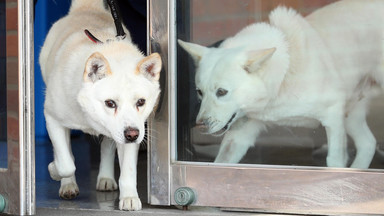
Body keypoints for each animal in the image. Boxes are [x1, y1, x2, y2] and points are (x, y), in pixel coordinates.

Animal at [38, 0, 160, 210]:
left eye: (141, 102)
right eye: (110, 103)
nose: (132, 134)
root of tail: (86, 8)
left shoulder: (131, 132)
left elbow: (128, 169)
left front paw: (129, 197)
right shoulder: (52, 118)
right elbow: (66, 163)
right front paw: (54, 170)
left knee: (107, 147)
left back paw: (105, 178)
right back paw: (68, 184)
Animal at [179, 0, 384, 169]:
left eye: (222, 92)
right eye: (199, 92)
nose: (200, 125)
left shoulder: (333, 116)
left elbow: (334, 162)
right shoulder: (240, 134)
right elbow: (221, 162)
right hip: (350, 114)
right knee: (368, 143)